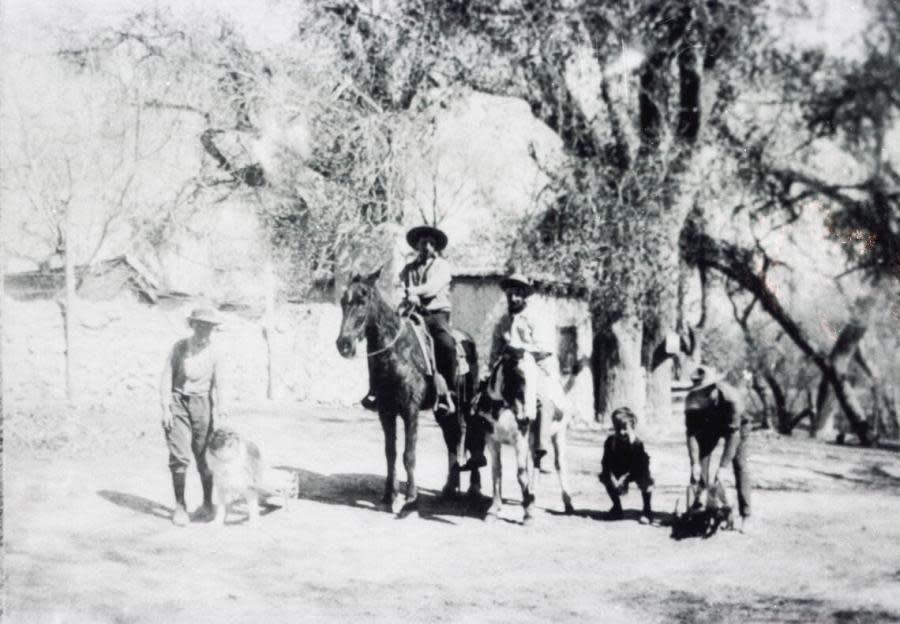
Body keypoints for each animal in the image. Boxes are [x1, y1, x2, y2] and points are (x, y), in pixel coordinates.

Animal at [336, 270, 478, 516]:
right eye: (344, 301)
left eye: (363, 301)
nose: (343, 344)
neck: (397, 352)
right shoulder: (386, 411)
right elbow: (390, 452)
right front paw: (389, 495)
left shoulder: (411, 410)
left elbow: (408, 455)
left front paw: (410, 499)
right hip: (443, 413)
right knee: (452, 440)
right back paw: (450, 488)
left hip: (467, 406)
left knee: (469, 438)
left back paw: (473, 489)